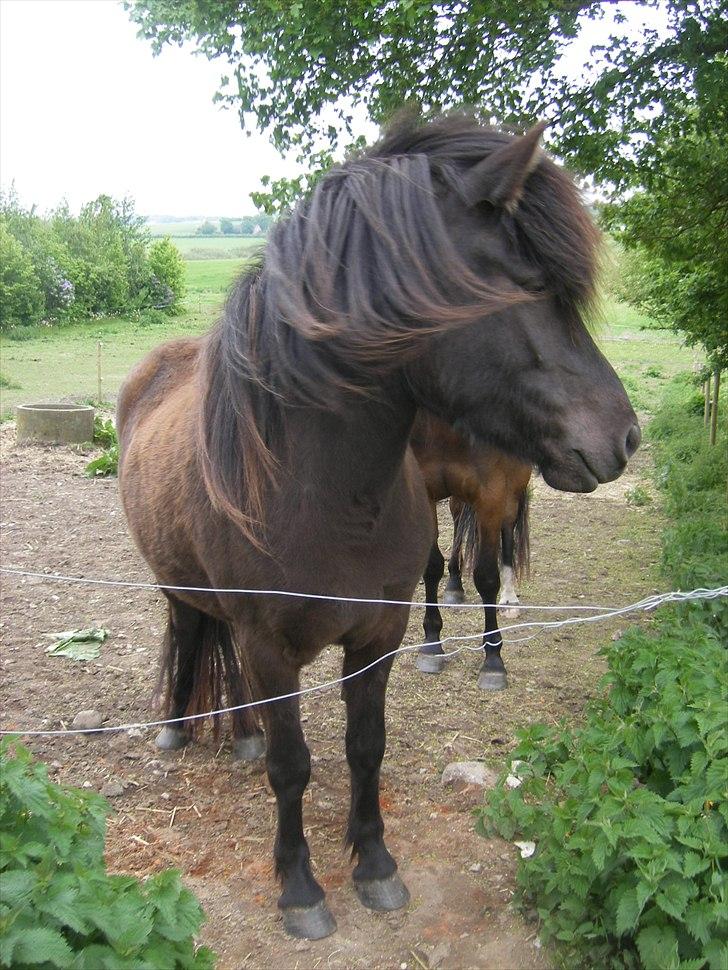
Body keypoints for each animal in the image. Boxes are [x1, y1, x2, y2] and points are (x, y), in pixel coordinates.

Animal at [410, 412, 528, 684]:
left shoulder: (492, 496)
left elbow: (486, 578)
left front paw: (493, 660)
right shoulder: (426, 489)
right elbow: (432, 567)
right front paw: (431, 645)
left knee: (508, 529)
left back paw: (509, 599)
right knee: (456, 514)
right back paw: (454, 584)